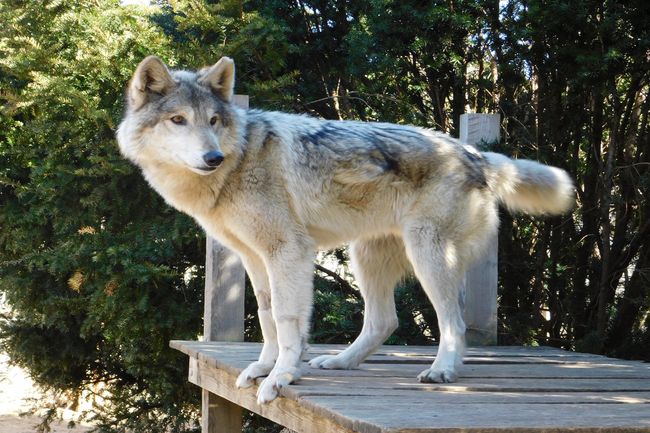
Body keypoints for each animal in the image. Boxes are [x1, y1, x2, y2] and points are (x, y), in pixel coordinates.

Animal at [117, 56, 574, 404]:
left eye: (213, 120)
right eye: (178, 120)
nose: (212, 157)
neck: (240, 160)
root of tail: (475, 153)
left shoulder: (289, 251)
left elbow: (286, 319)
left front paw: (281, 377)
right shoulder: (255, 258)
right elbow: (266, 316)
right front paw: (264, 367)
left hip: (427, 256)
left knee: (453, 321)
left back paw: (442, 371)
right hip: (366, 257)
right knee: (384, 321)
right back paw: (340, 362)